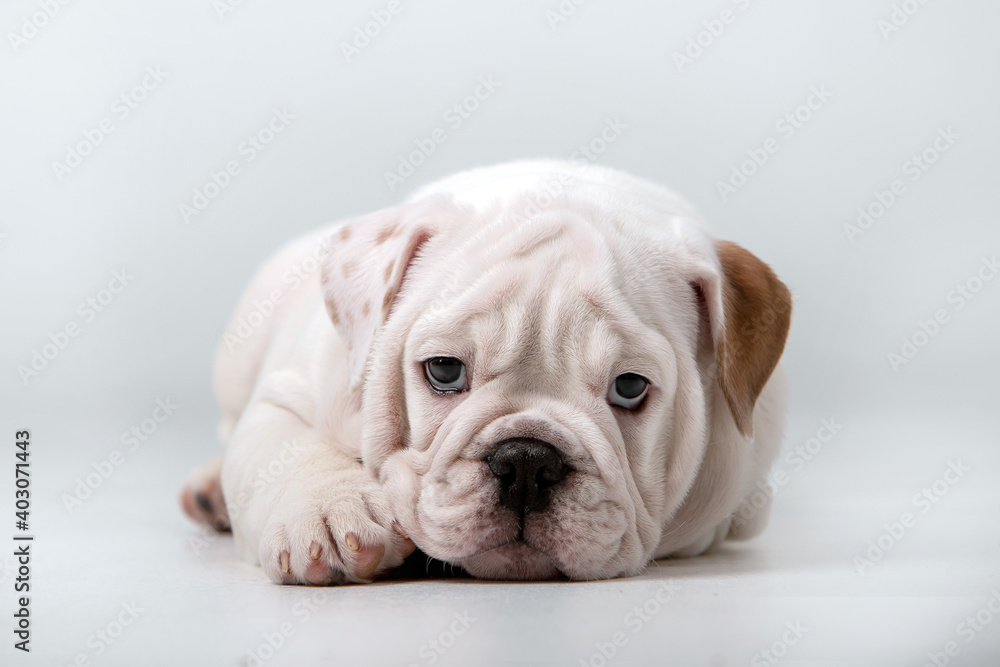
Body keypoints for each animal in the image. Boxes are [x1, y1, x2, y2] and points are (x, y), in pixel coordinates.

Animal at [180, 160, 788, 584]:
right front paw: (330, 515)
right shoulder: (288, 393)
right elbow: (282, 451)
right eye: (444, 371)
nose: (527, 462)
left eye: (630, 387)